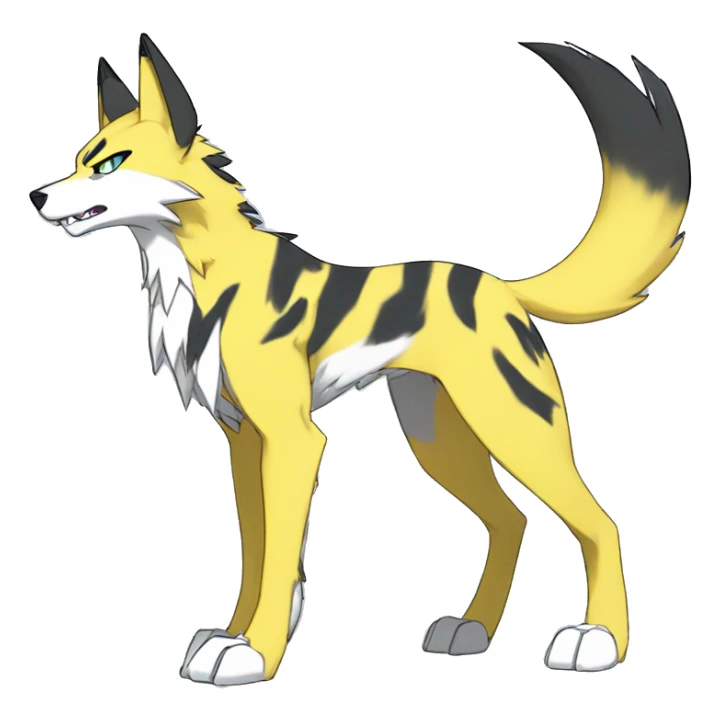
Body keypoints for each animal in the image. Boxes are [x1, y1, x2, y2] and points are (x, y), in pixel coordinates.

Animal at [29, 35, 689, 685]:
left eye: (109, 163)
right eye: (79, 158)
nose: (34, 195)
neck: (207, 279)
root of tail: (501, 285)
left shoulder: (293, 441)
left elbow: (275, 557)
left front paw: (258, 653)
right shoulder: (244, 442)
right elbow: (254, 550)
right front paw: (230, 635)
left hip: (515, 428)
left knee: (602, 523)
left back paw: (598, 640)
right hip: (436, 439)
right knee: (510, 521)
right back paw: (472, 629)